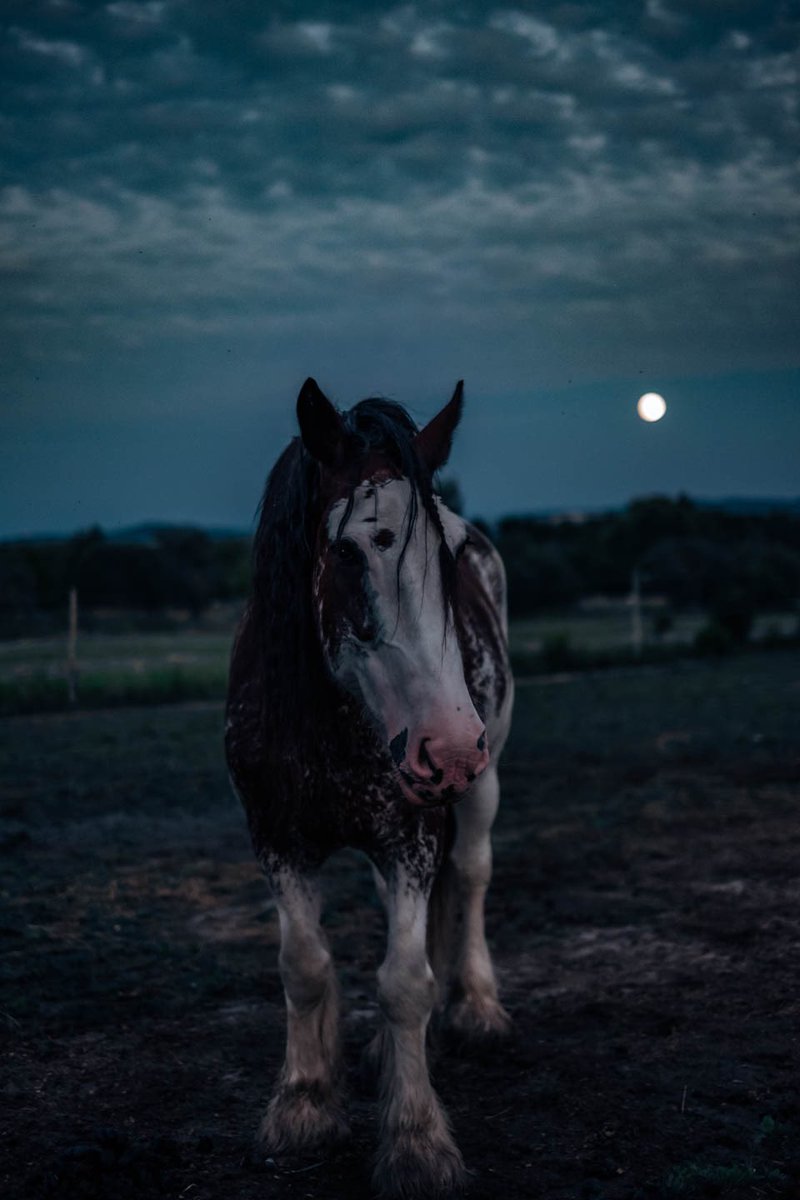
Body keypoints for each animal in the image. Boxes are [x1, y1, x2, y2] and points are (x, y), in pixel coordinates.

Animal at [225, 379, 513, 1195]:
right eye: (346, 550)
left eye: (446, 557)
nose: (449, 746)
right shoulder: (275, 838)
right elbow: (305, 965)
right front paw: (304, 1104)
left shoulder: (410, 836)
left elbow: (406, 980)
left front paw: (417, 1142)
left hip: (482, 787)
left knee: (471, 876)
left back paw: (476, 1008)